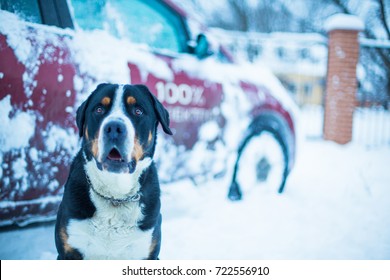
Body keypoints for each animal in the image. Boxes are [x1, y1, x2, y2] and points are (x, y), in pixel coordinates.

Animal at [54, 83, 172, 260]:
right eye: (99, 109)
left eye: (138, 111)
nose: (114, 127)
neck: (115, 195)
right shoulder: (68, 251)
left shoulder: (148, 253)